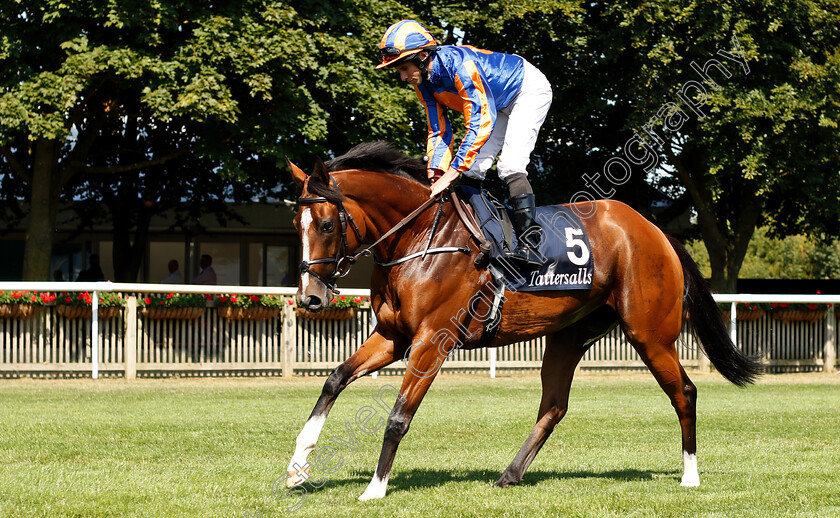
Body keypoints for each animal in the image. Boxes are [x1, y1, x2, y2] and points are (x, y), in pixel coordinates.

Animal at [282, 140, 760, 502]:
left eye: (326, 224)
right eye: (295, 224)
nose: (309, 297)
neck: (420, 238)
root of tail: (656, 232)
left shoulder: (431, 341)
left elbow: (399, 415)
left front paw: (375, 489)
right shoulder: (393, 336)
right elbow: (334, 379)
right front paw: (298, 465)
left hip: (650, 334)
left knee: (685, 392)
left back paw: (690, 475)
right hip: (569, 337)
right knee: (554, 405)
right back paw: (511, 473)